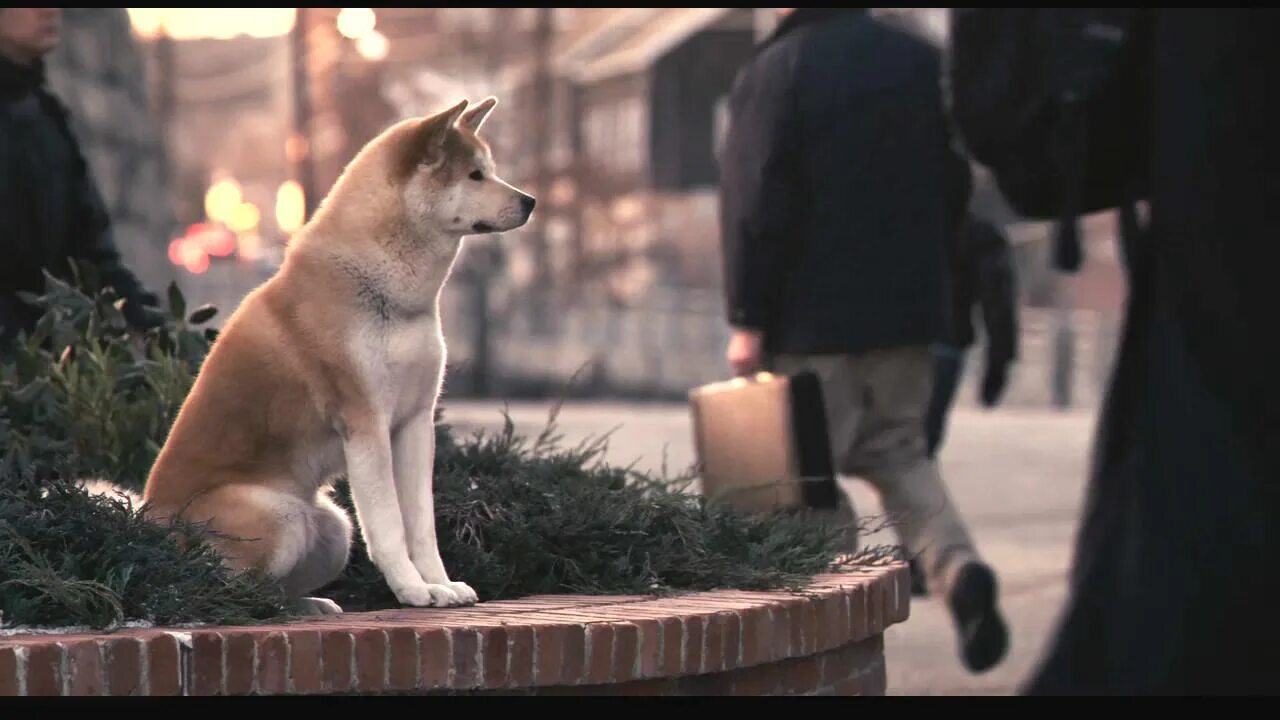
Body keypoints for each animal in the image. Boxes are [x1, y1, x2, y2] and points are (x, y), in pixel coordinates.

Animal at [83, 95, 535, 609]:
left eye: (490, 170)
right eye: (475, 175)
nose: (530, 201)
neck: (384, 289)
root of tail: (146, 525)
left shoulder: (415, 423)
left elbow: (422, 526)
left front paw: (440, 584)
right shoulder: (366, 424)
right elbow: (390, 527)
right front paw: (413, 591)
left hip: (334, 528)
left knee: (274, 589)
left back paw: (310, 604)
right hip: (276, 514)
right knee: (226, 592)